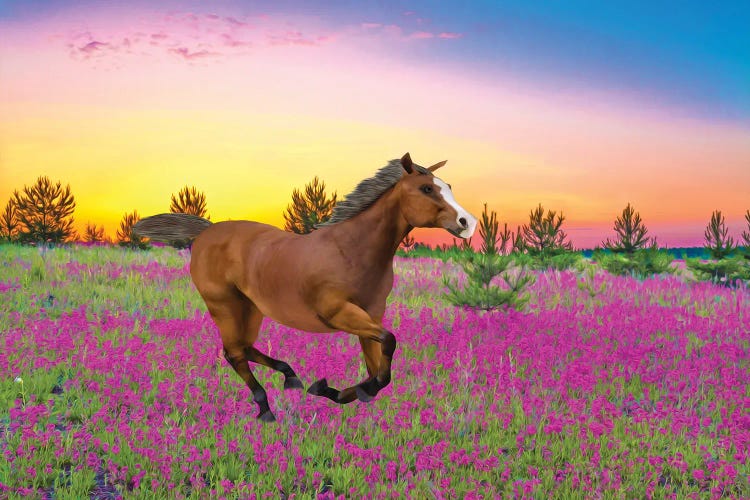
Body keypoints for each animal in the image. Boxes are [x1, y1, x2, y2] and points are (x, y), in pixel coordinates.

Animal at [134, 153, 476, 422]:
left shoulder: (371, 314)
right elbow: (388, 347)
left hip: (252, 307)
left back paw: (291, 378)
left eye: (449, 187)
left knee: (245, 348)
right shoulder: (338, 313)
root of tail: (207, 231)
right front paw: (335, 388)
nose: (468, 223)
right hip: (224, 305)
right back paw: (266, 408)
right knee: (233, 352)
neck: (351, 249)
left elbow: (377, 369)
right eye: (427, 188)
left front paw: (335, 390)